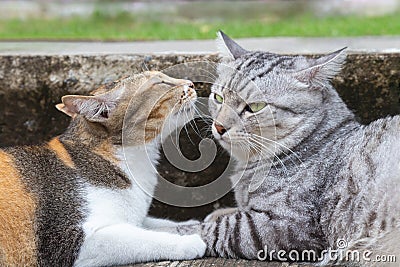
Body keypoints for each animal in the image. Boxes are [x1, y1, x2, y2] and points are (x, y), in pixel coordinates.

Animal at [0, 71, 206, 267]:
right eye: (160, 82)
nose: (191, 83)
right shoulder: (68, 238)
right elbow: (140, 238)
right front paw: (189, 242)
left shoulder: (135, 218)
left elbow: (153, 223)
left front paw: (191, 224)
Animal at [160, 32, 400, 266]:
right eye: (219, 98)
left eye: (255, 107)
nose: (219, 126)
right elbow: (229, 213)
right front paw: (218, 212)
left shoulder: (284, 226)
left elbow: (216, 229)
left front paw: (167, 232)